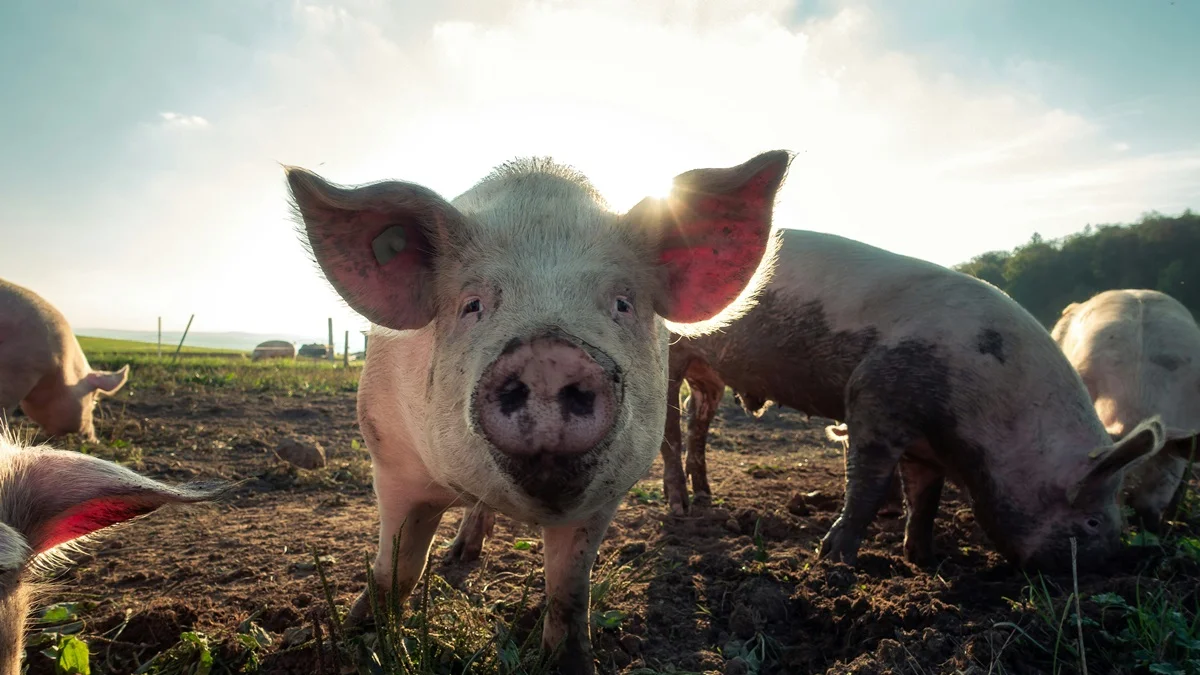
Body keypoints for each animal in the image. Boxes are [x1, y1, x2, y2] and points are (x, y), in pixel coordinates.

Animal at [285, 151, 792, 674]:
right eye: (472, 304)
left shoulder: (607, 493)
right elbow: (397, 568)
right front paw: (358, 639)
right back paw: (459, 557)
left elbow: (569, 590)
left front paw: (572, 663)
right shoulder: (390, 458)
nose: (549, 355)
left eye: (622, 303)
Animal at [657, 229, 1166, 571]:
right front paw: (833, 561)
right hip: (671, 355)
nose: (1110, 566)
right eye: (1092, 522)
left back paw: (706, 497)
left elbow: (925, 498)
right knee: (668, 430)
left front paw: (925, 559)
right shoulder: (874, 398)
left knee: (696, 419)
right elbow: (867, 484)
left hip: (709, 374)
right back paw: (680, 508)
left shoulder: (928, 448)